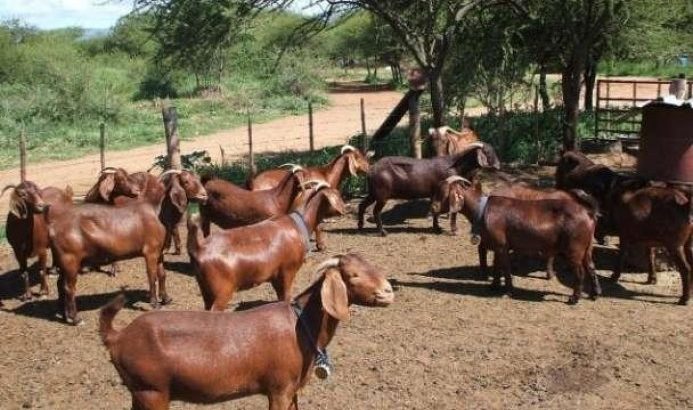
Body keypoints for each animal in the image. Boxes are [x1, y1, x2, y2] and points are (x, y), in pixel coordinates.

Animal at [99, 253, 393, 410]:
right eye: (352, 276)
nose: (388, 291)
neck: (301, 325)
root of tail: (118, 336)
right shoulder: (279, 388)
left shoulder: (293, 389)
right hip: (152, 391)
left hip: (140, 392)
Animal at [188, 183, 346, 311]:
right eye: (337, 194)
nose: (346, 208)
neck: (298, 224)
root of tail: (199, 247)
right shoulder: (287, 271)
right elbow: (286, 297)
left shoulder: (275, 275)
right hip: (221, 291)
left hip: (206, 290)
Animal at [358, 142, 500, 236]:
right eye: (488, 152)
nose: (499, 165)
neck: (456, 166)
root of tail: (371, 169)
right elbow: (453, 211)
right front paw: (453, 230)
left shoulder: (436, 194)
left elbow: (436, 210)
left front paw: (437, 228)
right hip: (382, 195)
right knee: (376, 211)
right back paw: (382, 232)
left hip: (373, 193)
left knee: (361, 205)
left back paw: (360, 227)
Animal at [453, 177, 600, 304]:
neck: (482, 209)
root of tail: (588, 213)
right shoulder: (497, 246)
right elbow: (497, 266)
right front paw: (494, 286)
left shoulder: (501, 245)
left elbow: (505, 267)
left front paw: (508, 291)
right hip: (587, 247)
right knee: (591, 266)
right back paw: (595, 294)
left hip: (574, 248)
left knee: (580, 272)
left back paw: (574, 299)